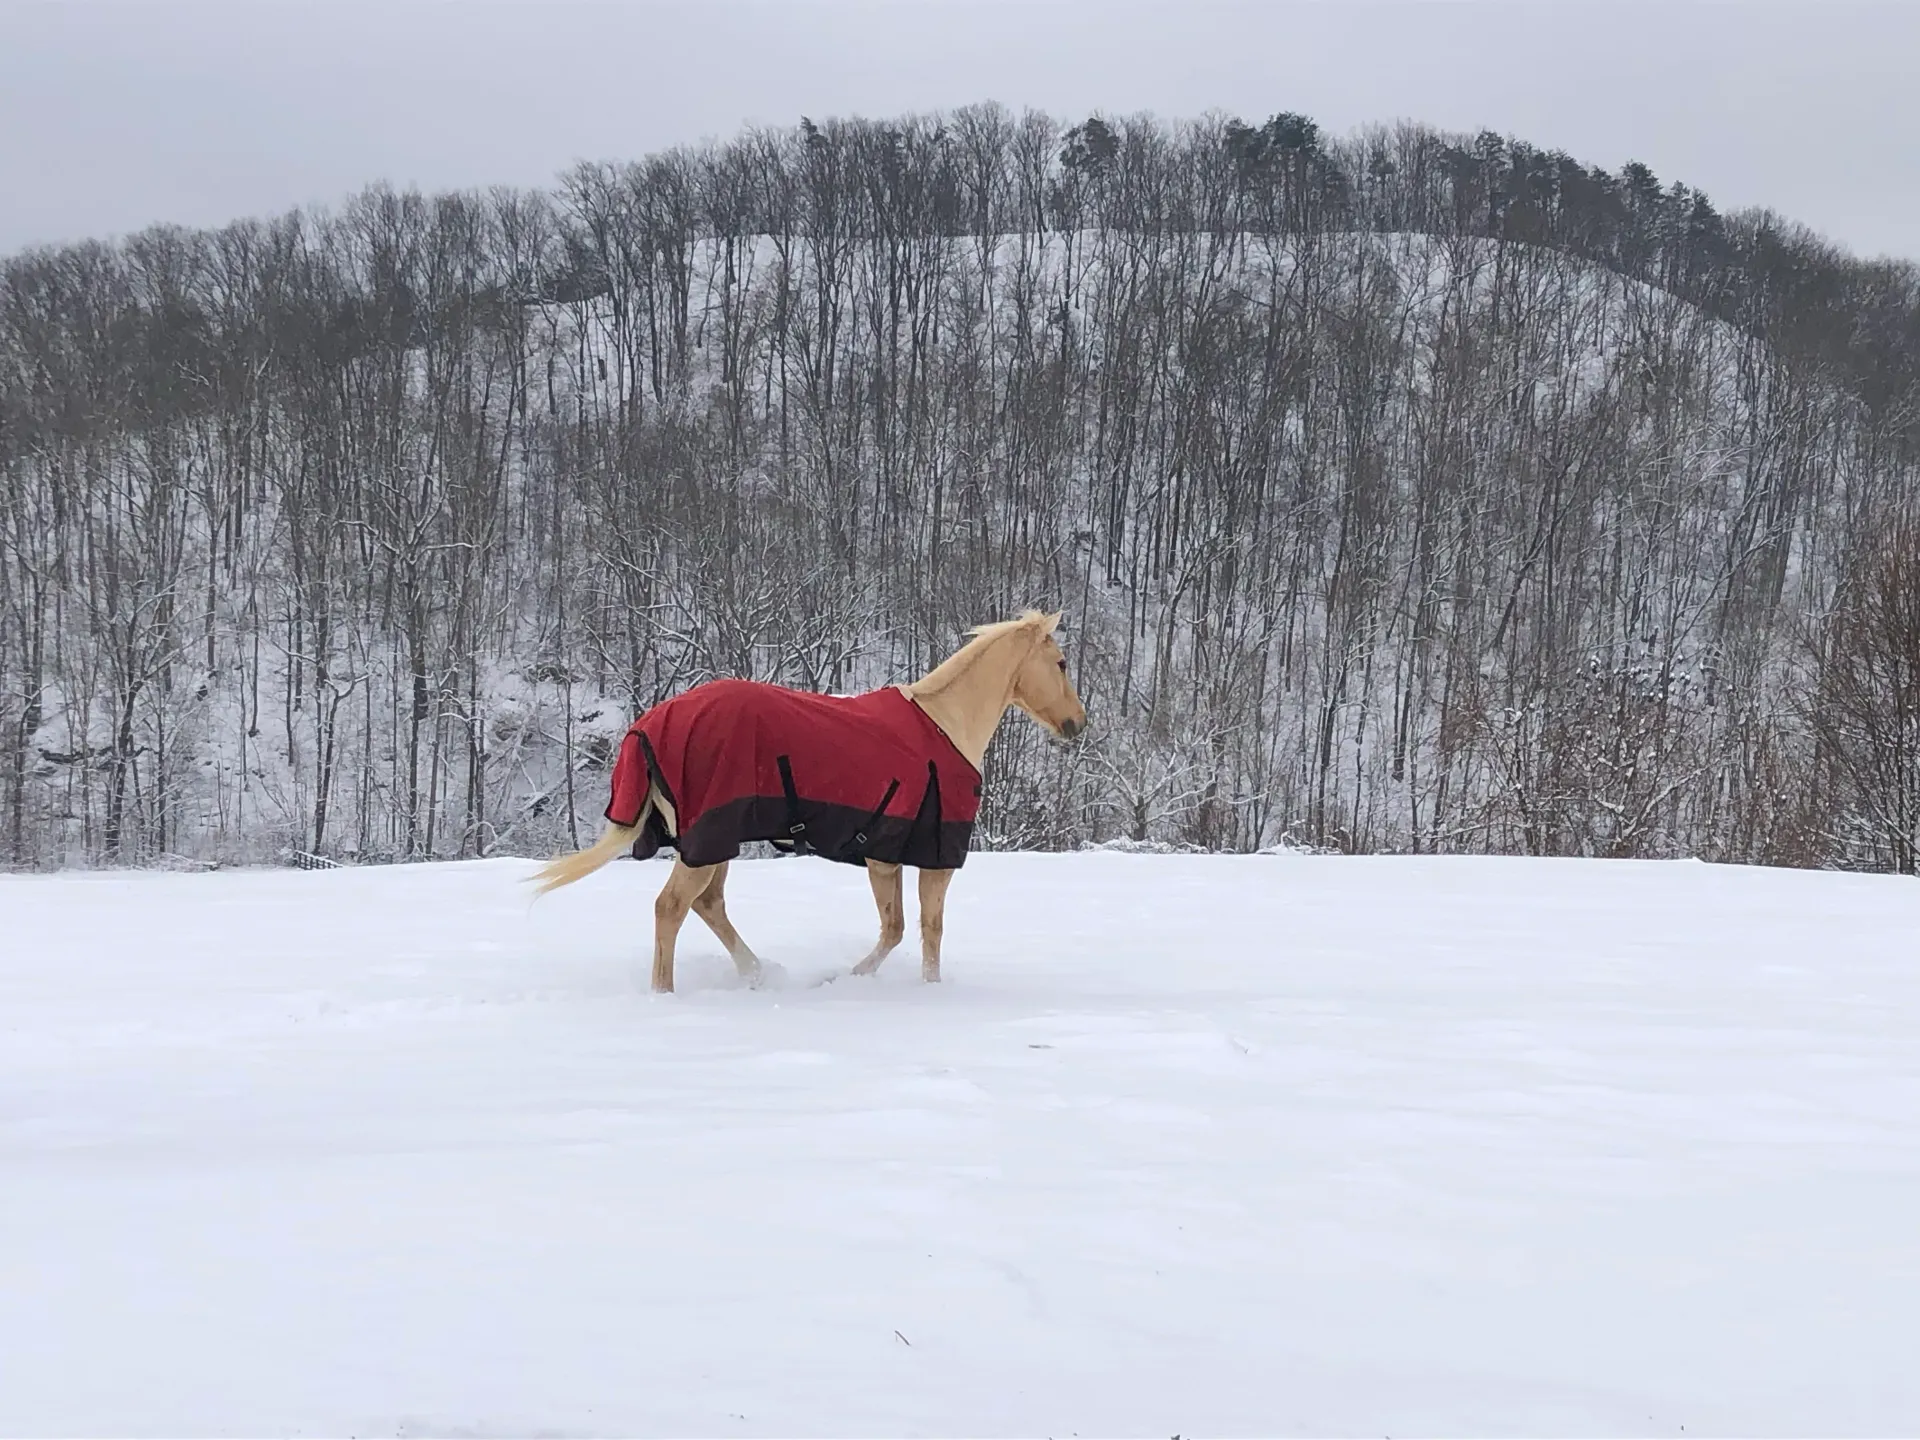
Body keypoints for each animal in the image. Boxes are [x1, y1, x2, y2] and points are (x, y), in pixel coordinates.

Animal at [529, 610, 1088, 993]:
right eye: (1061, 662)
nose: (1078, 725)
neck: (946, 725)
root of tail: (650, 723)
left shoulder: (886, 857)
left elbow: (900, 929)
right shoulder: (928, 858)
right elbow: (921, 930)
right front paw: (897, 986)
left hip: (713, 840)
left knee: (707, 905)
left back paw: (758, 974)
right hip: (708, 839)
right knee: (671, 908)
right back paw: (664, 994)